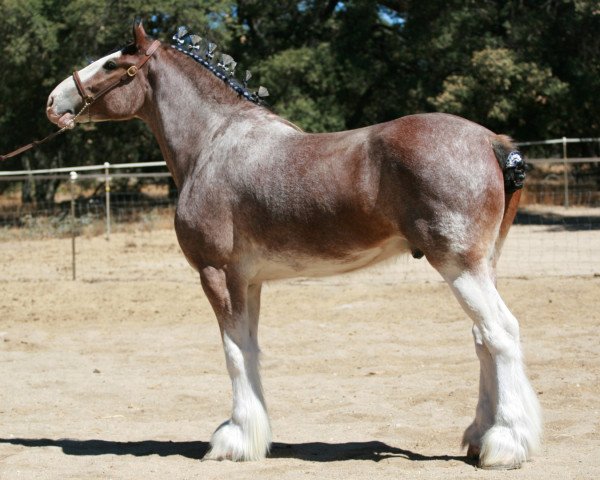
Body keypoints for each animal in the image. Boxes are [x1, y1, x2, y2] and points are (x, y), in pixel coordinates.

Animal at [45, 22, 540, 468]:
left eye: (113, 63)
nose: (53, 101)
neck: (214, 142)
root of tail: (493, 142)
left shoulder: (216, 273)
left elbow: (233, 351)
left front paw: (235, 440)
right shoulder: (249, 281)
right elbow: (250, 348)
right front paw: (254, 436)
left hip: (459, 265)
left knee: (500, 333)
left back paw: (505, 445)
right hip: (482, 265)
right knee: (482, 338)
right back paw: (479, 436)